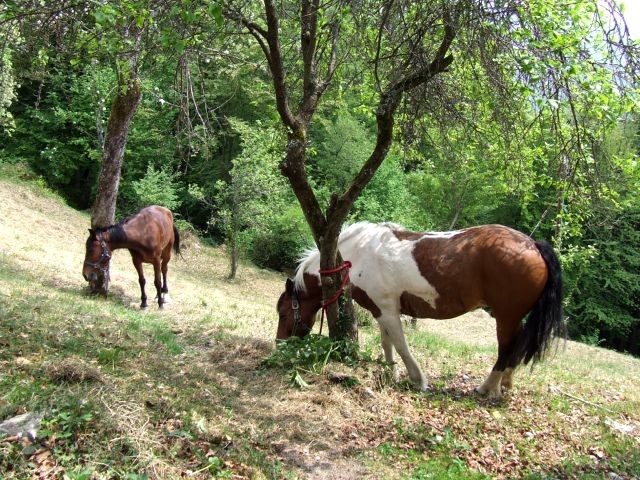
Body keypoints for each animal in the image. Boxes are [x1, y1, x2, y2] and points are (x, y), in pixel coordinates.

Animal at [276, 221, 564, 398]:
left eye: (283, 312)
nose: (279, 344)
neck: (359, 253)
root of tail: (533, 245)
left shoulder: (389, 310)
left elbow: (402, 345)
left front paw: (418, 380)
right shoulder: (380, 310)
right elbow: (387, 343)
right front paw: (391, 372)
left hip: (505, 316)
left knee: (506, 348)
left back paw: (487, 387)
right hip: (514, 317)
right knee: (518, 345)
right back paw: (506, 382)